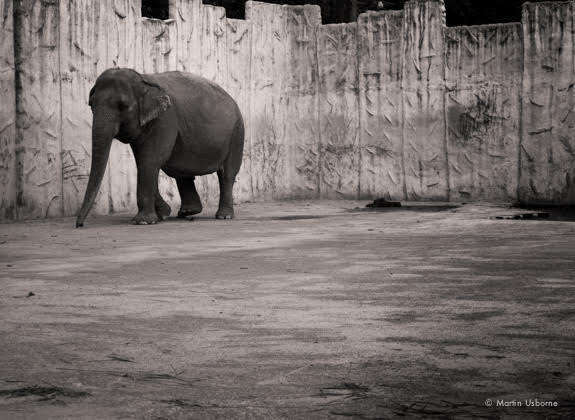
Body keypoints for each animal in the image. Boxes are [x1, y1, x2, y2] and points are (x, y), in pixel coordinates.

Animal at [75, 69, 244, 226]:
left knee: (227, 174)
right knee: (181, 171)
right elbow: (144, 162)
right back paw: (187, 212)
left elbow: (150, 160)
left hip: (236, 134)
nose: (79, 224)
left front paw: (144, 222)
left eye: (123, 106)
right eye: (91, 104)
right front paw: (163, 214)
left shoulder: (164, 119)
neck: (143, 80)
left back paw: (224, 216)